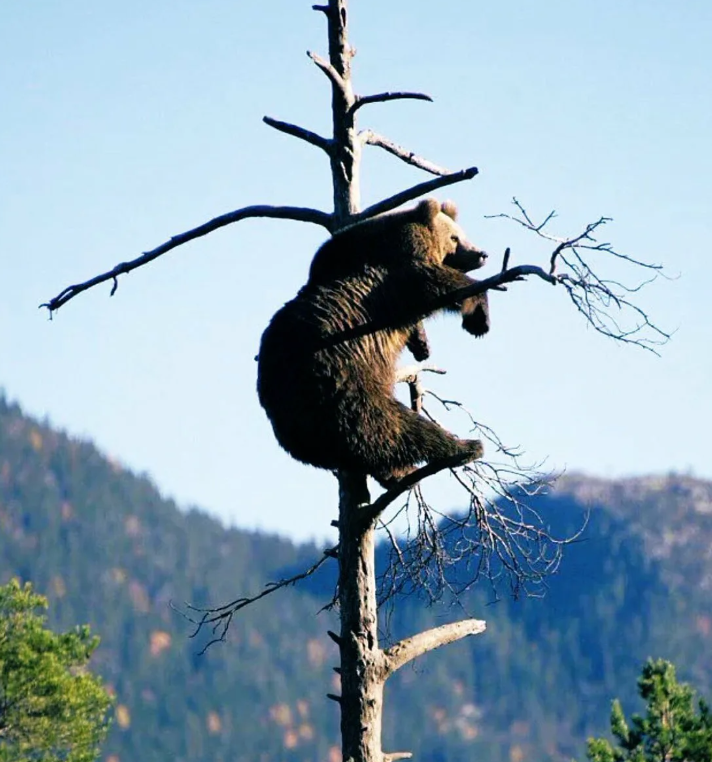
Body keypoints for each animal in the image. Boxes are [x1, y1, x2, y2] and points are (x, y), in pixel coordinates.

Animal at [258, 199, 492, 484]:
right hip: (348, 384)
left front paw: (422, 345)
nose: (481, 253)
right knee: (397, 427)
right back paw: (464, 447)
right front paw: (478, 319)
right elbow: (435, 281)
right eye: (455, 237)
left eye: (462, 233)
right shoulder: (395, 278)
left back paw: (398, 473)